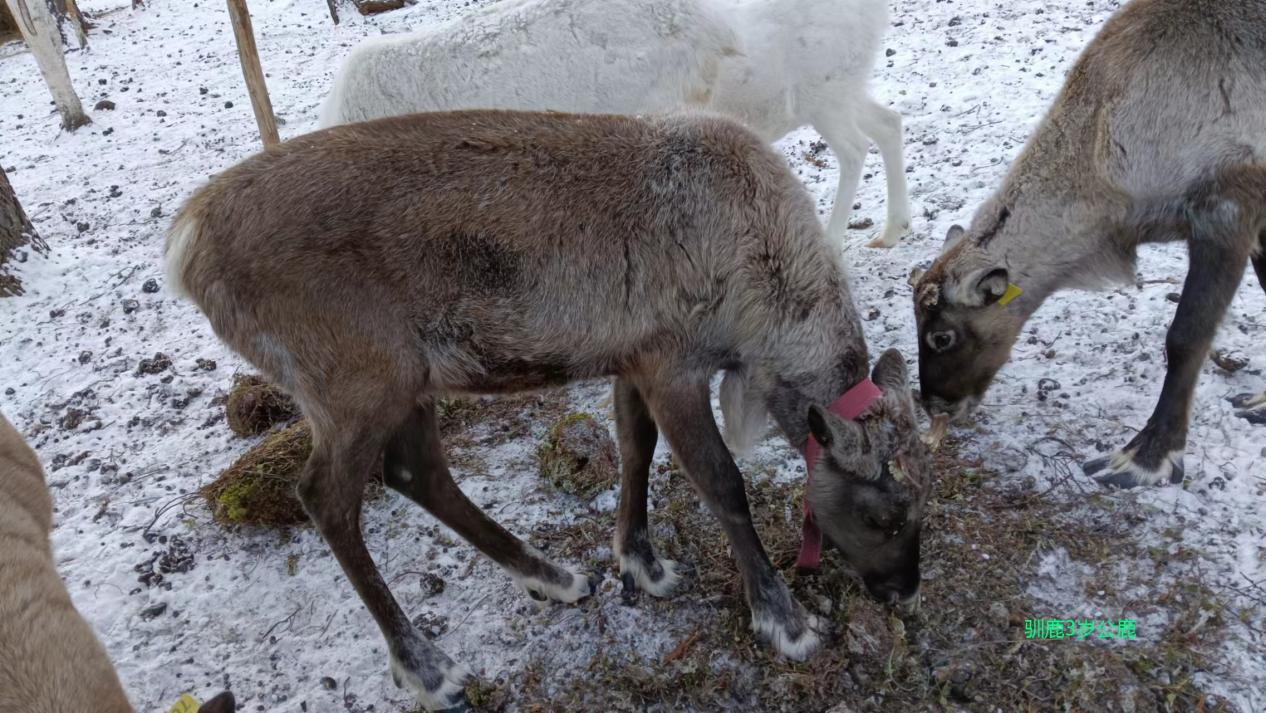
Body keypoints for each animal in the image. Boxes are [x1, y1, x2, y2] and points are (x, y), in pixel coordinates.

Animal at [165, 109, 933, 711]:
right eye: (881, 515)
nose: (904, 590)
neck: (765, 291)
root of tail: (184, 244)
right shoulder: (674, 360)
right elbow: (722, 483)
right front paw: (784, 620)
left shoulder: (632, 357)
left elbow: (634, 449)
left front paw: (640, 564)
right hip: (355, 380)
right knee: (325, 496)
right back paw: (429, 668)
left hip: (411, 378)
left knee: (416, 472)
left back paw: (554, 577)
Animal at [317, 0, 911, 249]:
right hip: (838, 87)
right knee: (888, 123)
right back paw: (890, 230)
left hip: (818, 94)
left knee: (855, 147)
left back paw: (835, 241)